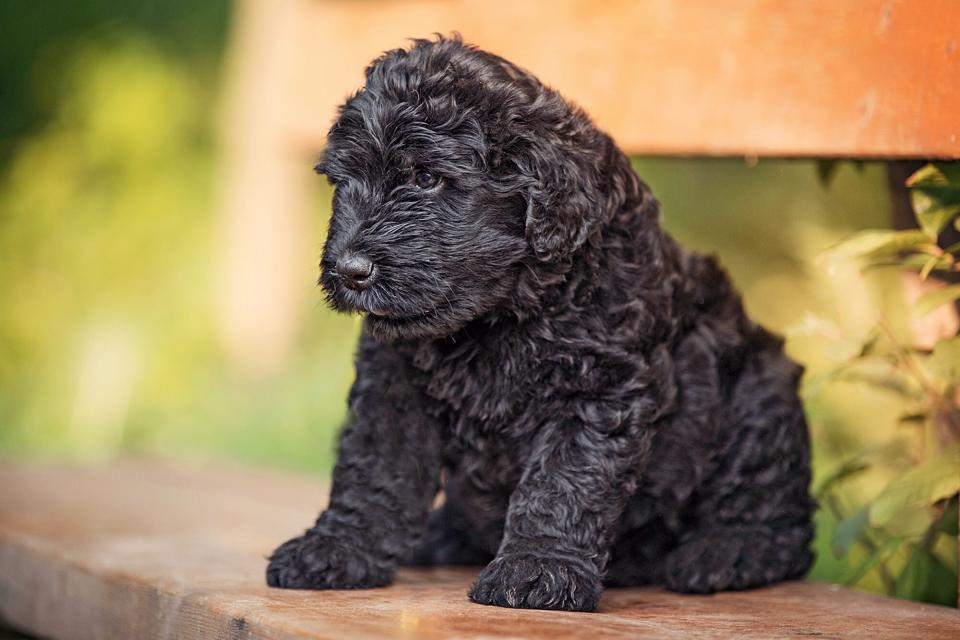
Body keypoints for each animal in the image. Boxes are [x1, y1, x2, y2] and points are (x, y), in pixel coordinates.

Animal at [266, 33, 812, 608]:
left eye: (427, 178)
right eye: (342, 182)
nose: (349, 271)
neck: (496, 319)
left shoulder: (598, 386)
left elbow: (563, 481)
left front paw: (537, 569)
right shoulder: (394, 383)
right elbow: (374, 468)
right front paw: (335, 547)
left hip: (759, 393)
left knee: (779, 518)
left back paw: (726, 551)